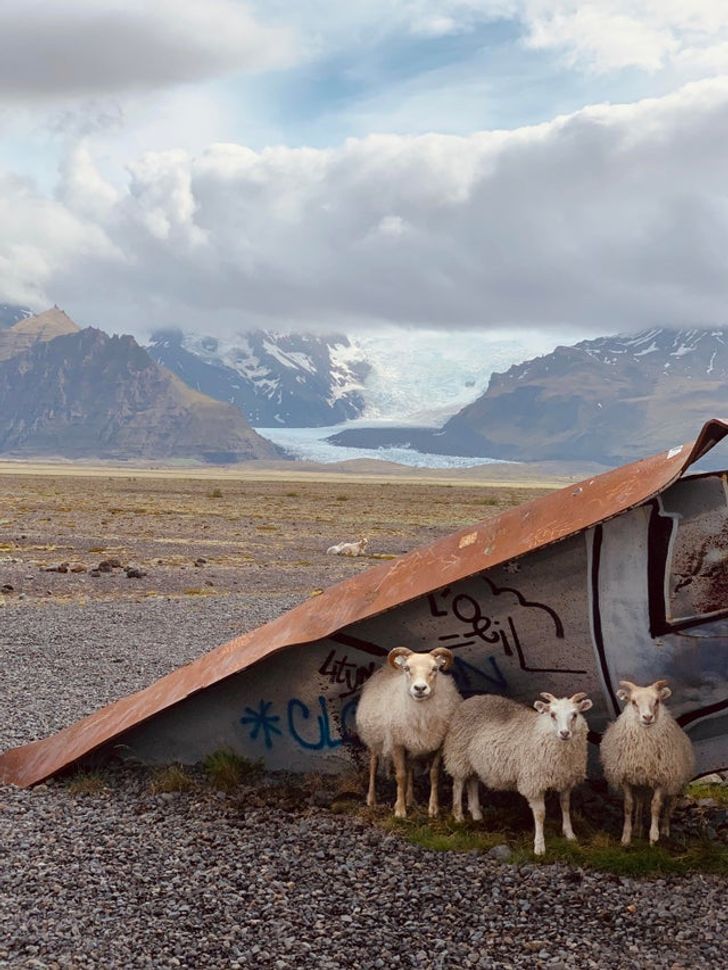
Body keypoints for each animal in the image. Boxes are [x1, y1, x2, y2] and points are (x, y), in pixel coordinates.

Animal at [356, 644, 460, 816]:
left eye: (435, 668)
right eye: (407, 668)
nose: (420, 688)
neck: (421, 714)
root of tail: (385, 668)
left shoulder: (439, 744)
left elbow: (434, 774)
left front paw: (433, 809)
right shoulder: (397, 744)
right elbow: (401, 776)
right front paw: (400, 810)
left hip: (411, 744)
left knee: (410, 768)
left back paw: (410, 799)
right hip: (374, 740)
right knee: (373, 765)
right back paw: (372, 799)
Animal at [440, 688, 596, 856]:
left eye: (575, 714)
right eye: (552, 714)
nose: (565, 733)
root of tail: (471, 699)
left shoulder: (566, 780)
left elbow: (565, 805)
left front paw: (569, 834)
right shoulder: (533, 782)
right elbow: (540, 814)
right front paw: (539, 846)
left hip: (474, 760)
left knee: (472, 782)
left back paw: (476, 815)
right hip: (458, 754)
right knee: (458, 784)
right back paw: (458, 816)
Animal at [600, 676, 696, 844]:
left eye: (657, 701)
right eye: (633, 701)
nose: (647, 717)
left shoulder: (662, 778)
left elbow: (656, 806)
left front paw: (653, 836)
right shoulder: (626, 778)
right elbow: (628, 805)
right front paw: (626, 836)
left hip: (675, 782)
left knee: (669, 805)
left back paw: (665, 829)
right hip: (641, 783)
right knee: (640, 803)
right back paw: (638, 828)